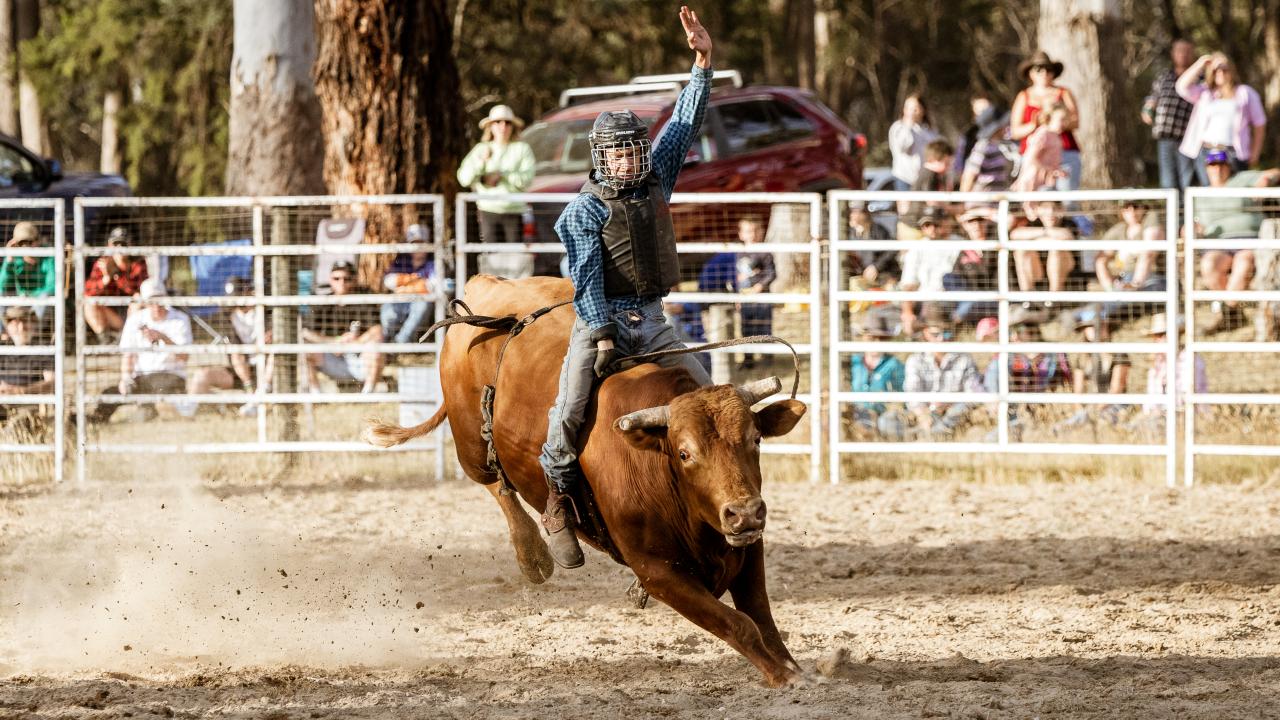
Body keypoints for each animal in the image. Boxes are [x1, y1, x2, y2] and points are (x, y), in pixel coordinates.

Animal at [364, 275, 808, 687]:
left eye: (755, 439)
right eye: (684, 453)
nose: (744, 512)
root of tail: (485, 285)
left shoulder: (746, 548)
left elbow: (762, 617)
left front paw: (795, 668)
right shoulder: (657, 572)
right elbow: (739, 624)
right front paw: (783, 677)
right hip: (470, 442)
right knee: (493, 480)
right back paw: (534, 554)